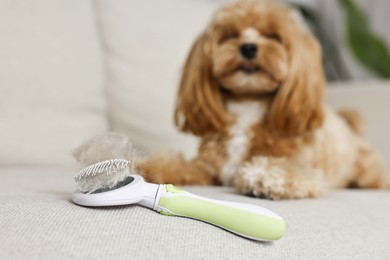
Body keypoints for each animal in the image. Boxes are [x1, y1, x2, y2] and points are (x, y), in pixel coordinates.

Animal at [74, 0, 388, 200]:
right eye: (230, 35)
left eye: (273, 35)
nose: (248, 48)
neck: (248, 106)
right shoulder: (208, 169)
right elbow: (177, 165)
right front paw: (146, 165)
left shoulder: (303, 169)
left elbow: (284, 170)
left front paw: (263, 178)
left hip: (366, 168)